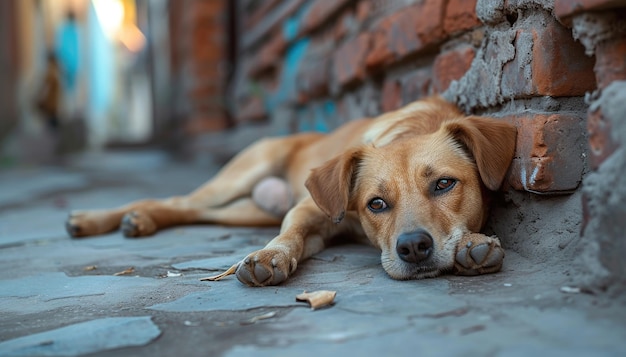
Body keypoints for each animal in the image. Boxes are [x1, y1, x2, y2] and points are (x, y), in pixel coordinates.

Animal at [67, 96, 516, 286]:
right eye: (376, 203)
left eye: (444, 183)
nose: (413, 248)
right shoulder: (307, 212)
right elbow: (289, 236)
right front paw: (269, 256)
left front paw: (473, 245)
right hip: (237, 177)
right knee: (177, 201)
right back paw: (98, 219)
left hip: (245, 210)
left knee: (190, 212)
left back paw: (139, 221)